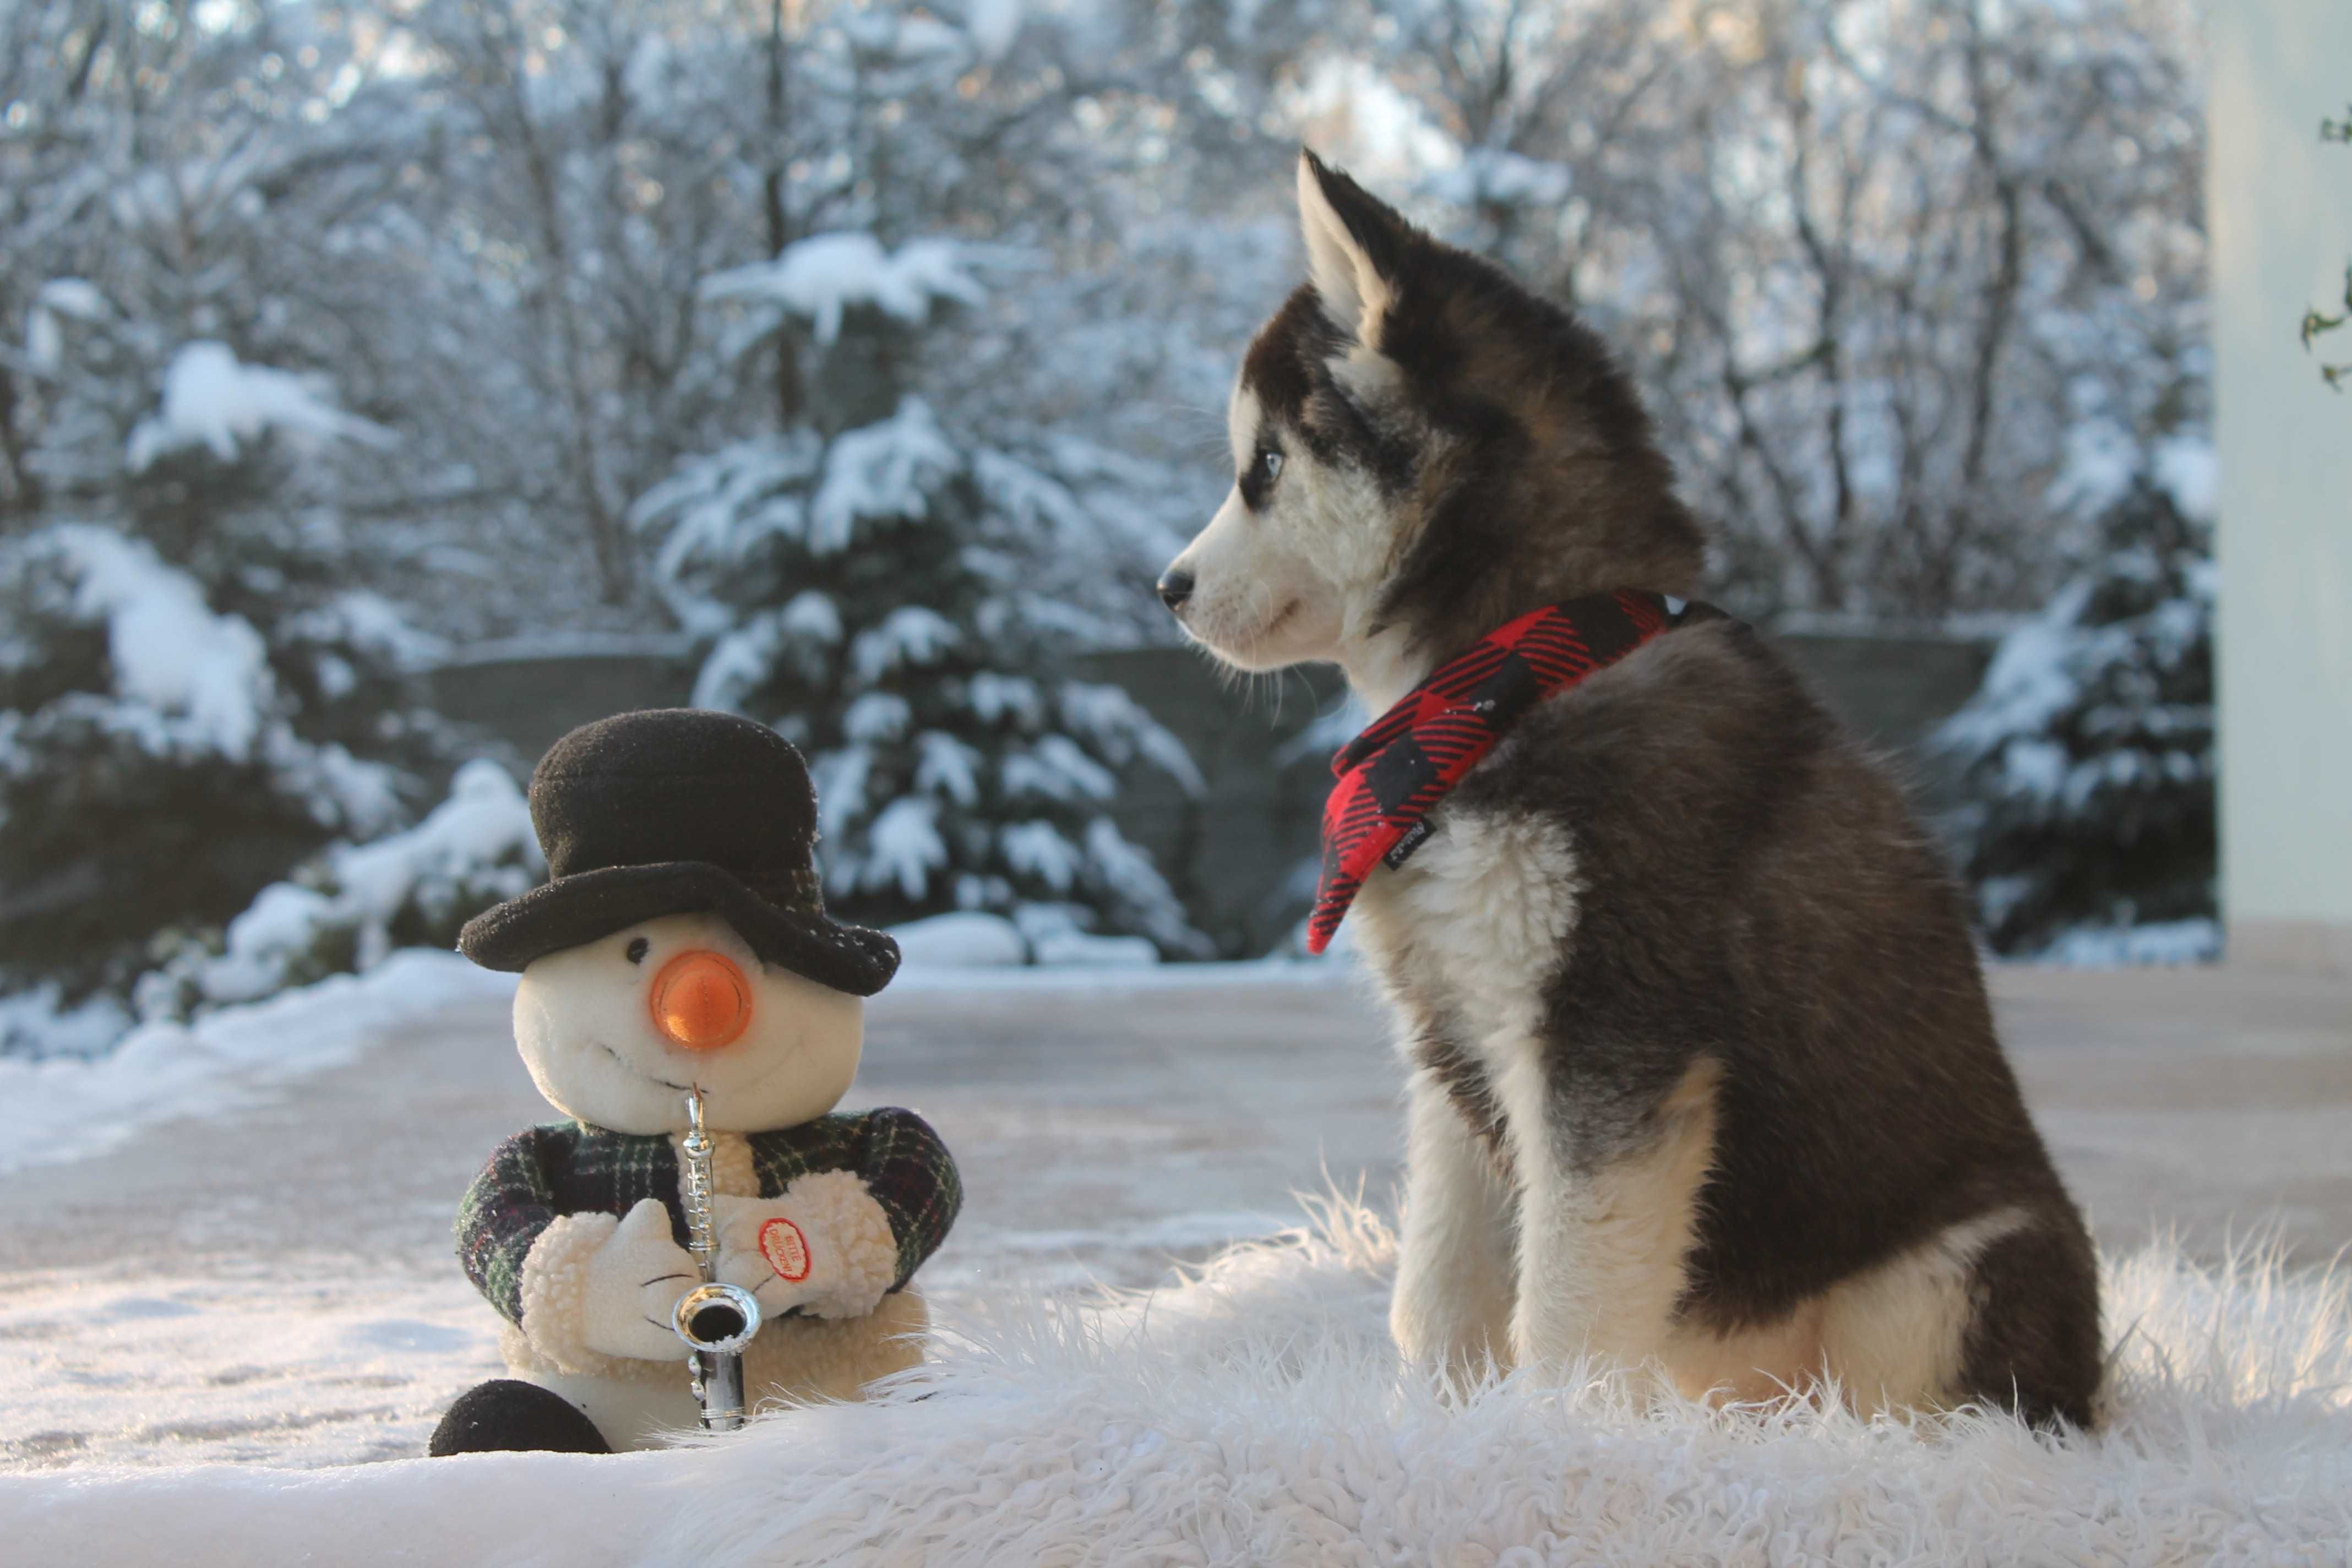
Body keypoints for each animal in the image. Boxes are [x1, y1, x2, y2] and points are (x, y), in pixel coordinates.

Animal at [1166, 153, 2107, 1429]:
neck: (1505, 677)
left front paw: (1549, 1438)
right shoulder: (1455, 1045)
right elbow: (1442, 1279)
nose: (1166, 588)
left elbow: (1565, 1301)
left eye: (1263, 466)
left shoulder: (1611, 1036)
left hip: (1963, 1264)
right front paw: (1429, 1423)